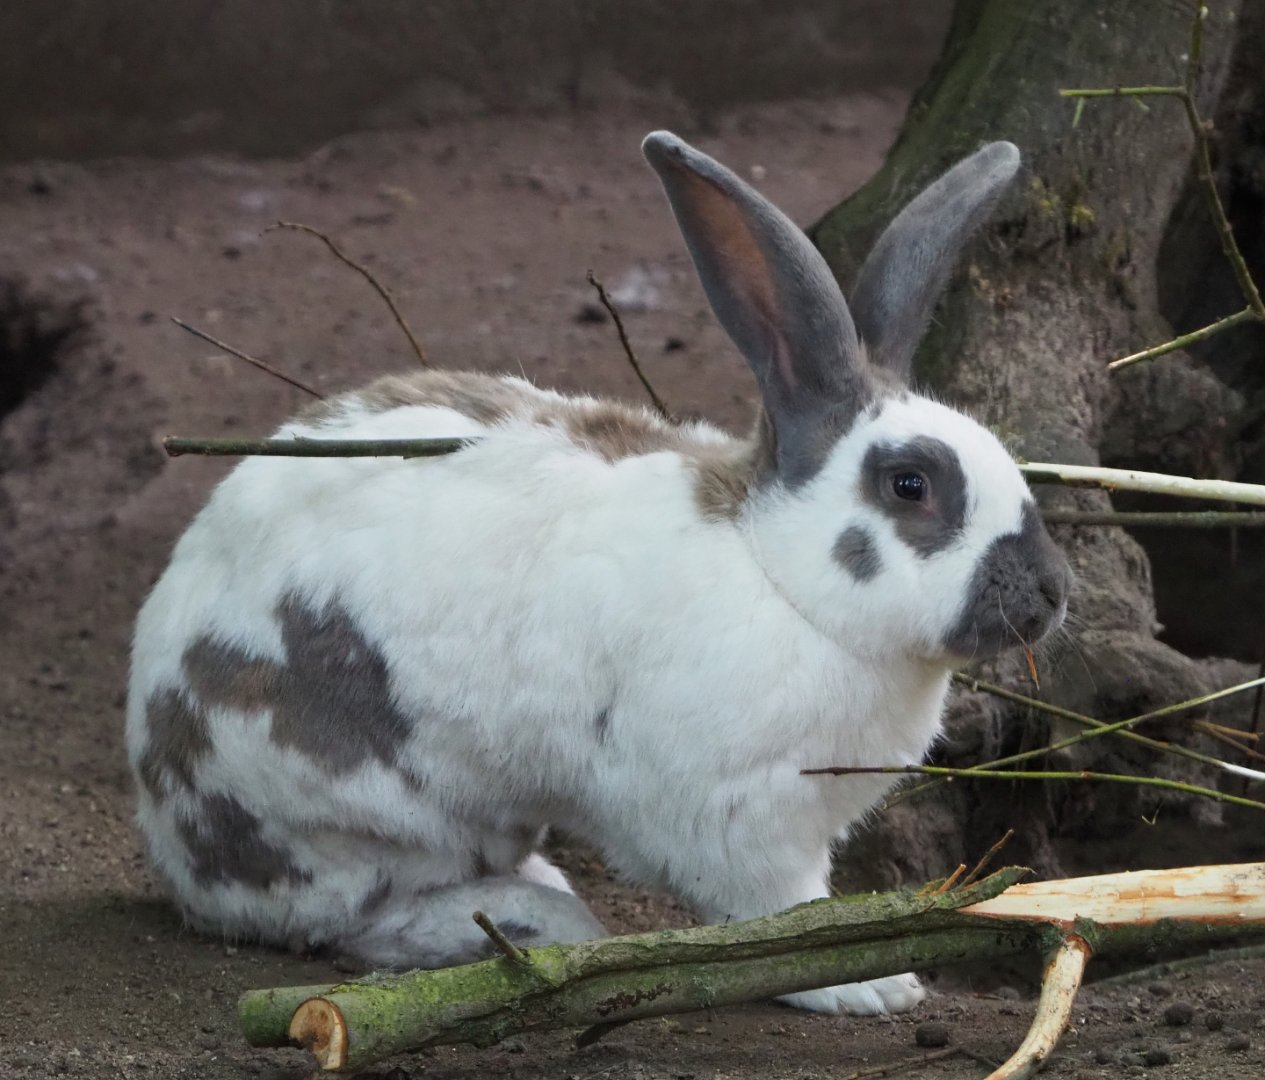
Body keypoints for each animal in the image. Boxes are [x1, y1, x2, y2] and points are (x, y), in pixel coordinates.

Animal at [126, 130, 1071, 1017]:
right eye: (909, 485)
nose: (1049, 594)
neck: (781, 580)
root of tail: (172, 840)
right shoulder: (742, 819)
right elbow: (784, 910)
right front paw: (869, 986)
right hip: (361, 806)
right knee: (355, 919)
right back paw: (541, 923)